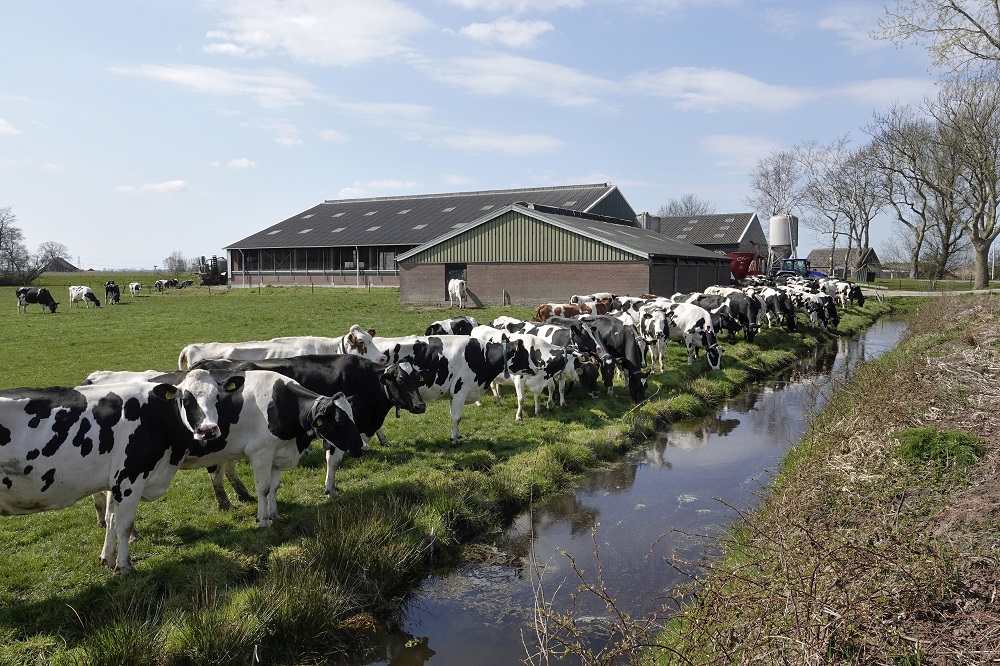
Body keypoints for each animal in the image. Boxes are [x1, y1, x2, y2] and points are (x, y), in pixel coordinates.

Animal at [0, 368, 240, 572]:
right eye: (187, 399)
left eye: (216, 398)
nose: (208, 430)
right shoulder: (129, 479)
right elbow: (124, 525)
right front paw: (125, 566)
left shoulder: (114, 482)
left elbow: (111, 520)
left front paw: (108, 559)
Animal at [189, 356, 428, 496]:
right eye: (399, 379)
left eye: (418, 379)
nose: (420, 405)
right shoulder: (336, 430)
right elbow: (334, 461)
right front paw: (330, 488)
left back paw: (243, 495)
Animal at [374, 334, 532, 444]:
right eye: (525, 354)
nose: (536, 368)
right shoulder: (460, 390)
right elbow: (457, 417)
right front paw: (455, 440)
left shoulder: (453, 394)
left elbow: (453, 416)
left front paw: (456, 435)